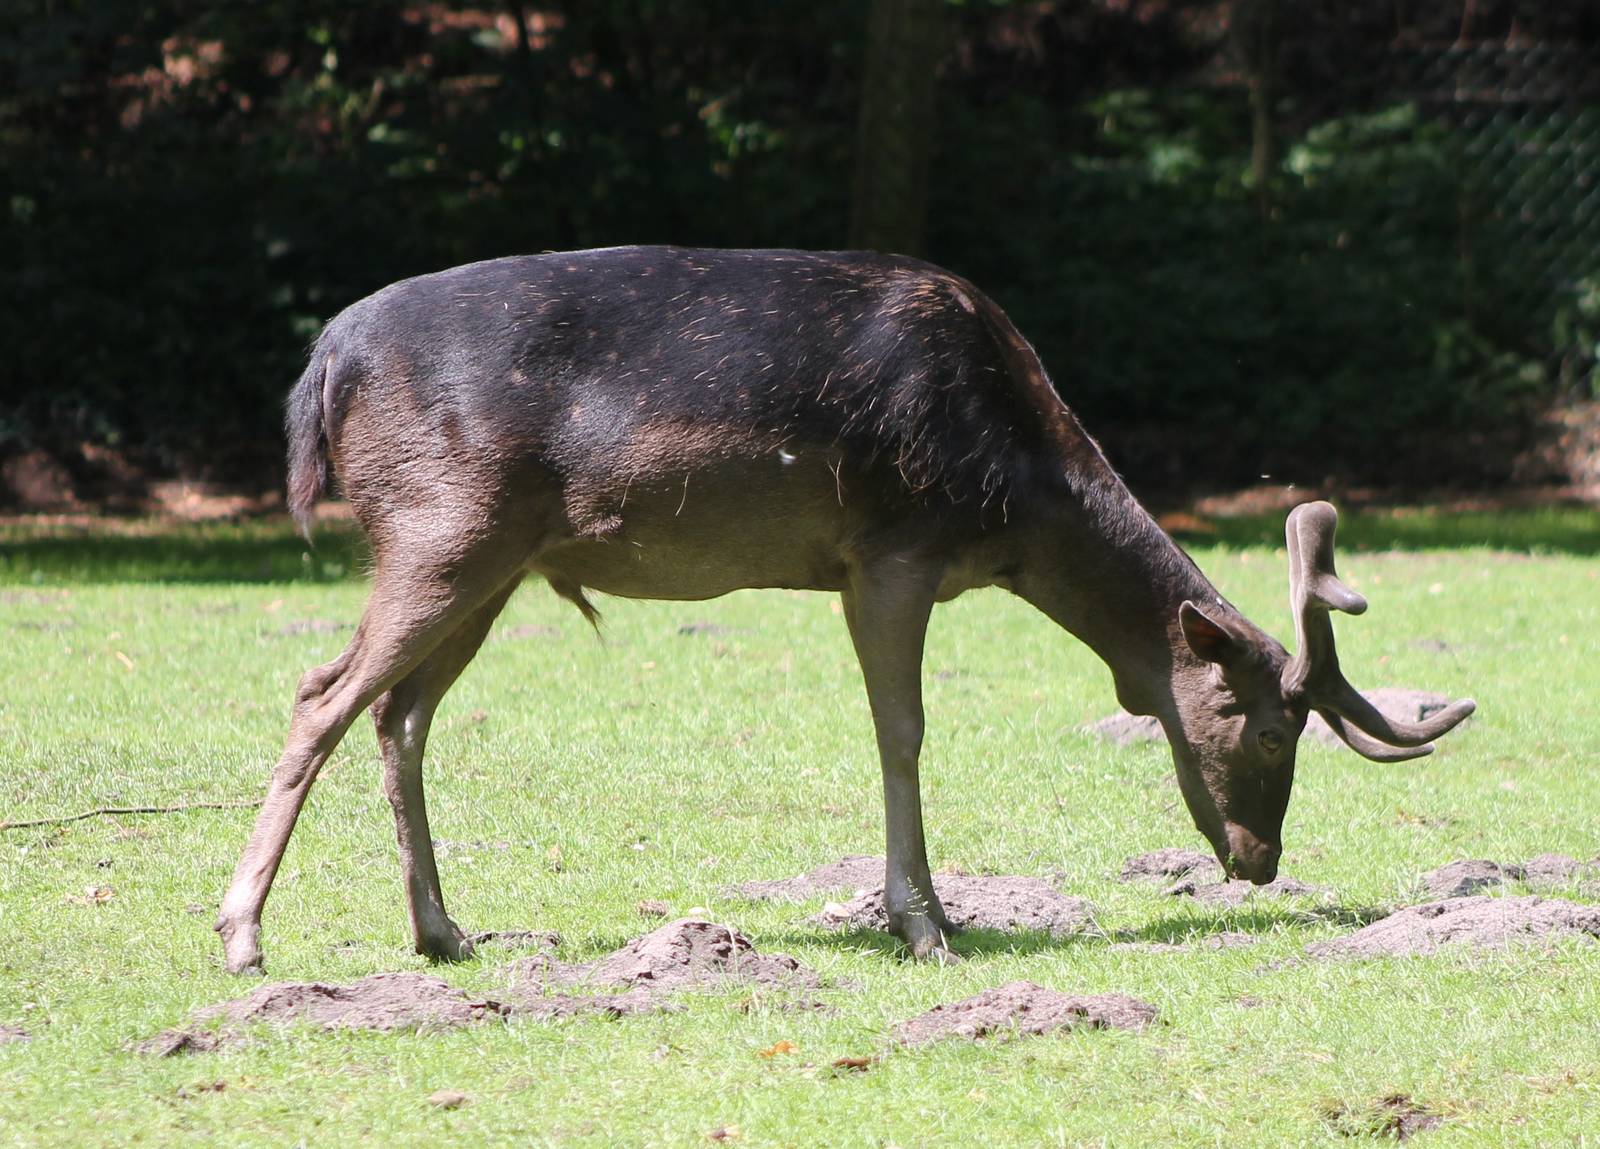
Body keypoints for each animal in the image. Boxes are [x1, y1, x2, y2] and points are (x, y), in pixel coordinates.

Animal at [215, 246, 1475, 972]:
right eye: (1266, 730)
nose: (1259, 860)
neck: (1015, 500)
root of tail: (322, 368)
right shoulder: (892, 550)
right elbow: (901, 731)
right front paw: (924, 924)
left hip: (492, 561)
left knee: (400, 715)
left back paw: (441, 932)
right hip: (440, 526)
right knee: (322, 694)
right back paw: (243, 936)